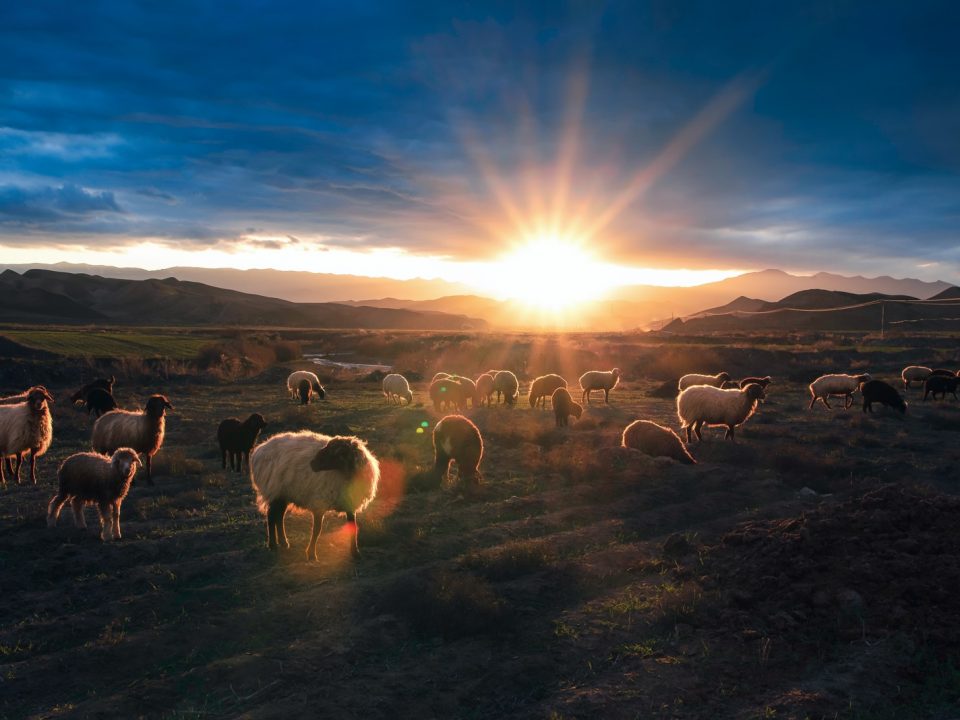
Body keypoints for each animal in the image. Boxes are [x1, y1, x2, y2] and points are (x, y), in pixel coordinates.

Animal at [249, 430, 380, 560]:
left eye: (336, 453)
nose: (312, 464)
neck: (344, 475)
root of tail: (259, 450)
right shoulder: (319, 502)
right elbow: (317, 529)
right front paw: (311, 554)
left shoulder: (350, 504)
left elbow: (353, 527)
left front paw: (355, 552)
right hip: (275, 490)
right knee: (271, 516)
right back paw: (273, 546)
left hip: (283, 494)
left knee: (279, 517)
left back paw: (284, 543)